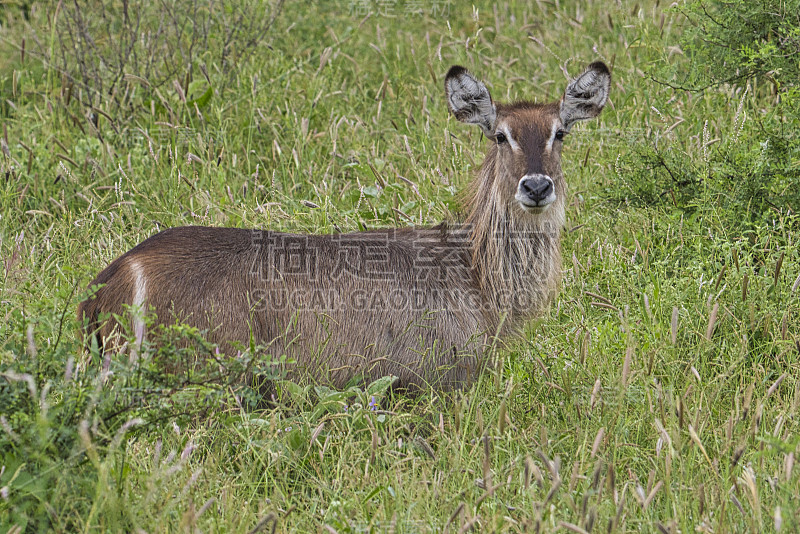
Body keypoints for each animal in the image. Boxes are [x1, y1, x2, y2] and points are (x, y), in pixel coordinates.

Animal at [78, 61, 608, 394]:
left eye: (561, 132)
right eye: (500, 135)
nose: (535, 186)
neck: (476, 276)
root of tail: (111, 277)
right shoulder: (436, 382)